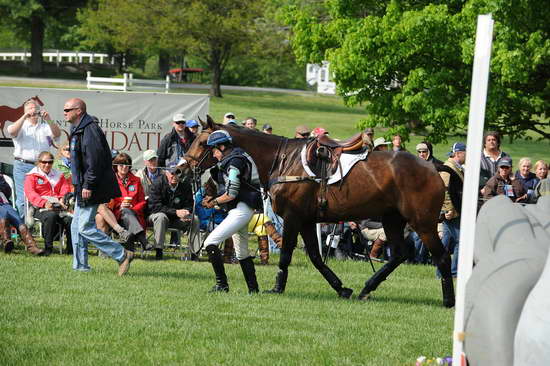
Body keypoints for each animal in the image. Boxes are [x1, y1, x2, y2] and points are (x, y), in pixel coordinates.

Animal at [185, 116, 458, 306]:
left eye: (202, 142)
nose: (181, 168)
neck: (283, 160)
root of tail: (432, 167)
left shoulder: (293, 218)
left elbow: (286, 255)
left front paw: (277, 287)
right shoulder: (307, 222)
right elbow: (316, 257)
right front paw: (341, 288)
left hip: (422, 223)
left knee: (442, 257)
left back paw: (449, 300)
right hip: (393, 220)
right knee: (399, 254)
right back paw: (367, 288)